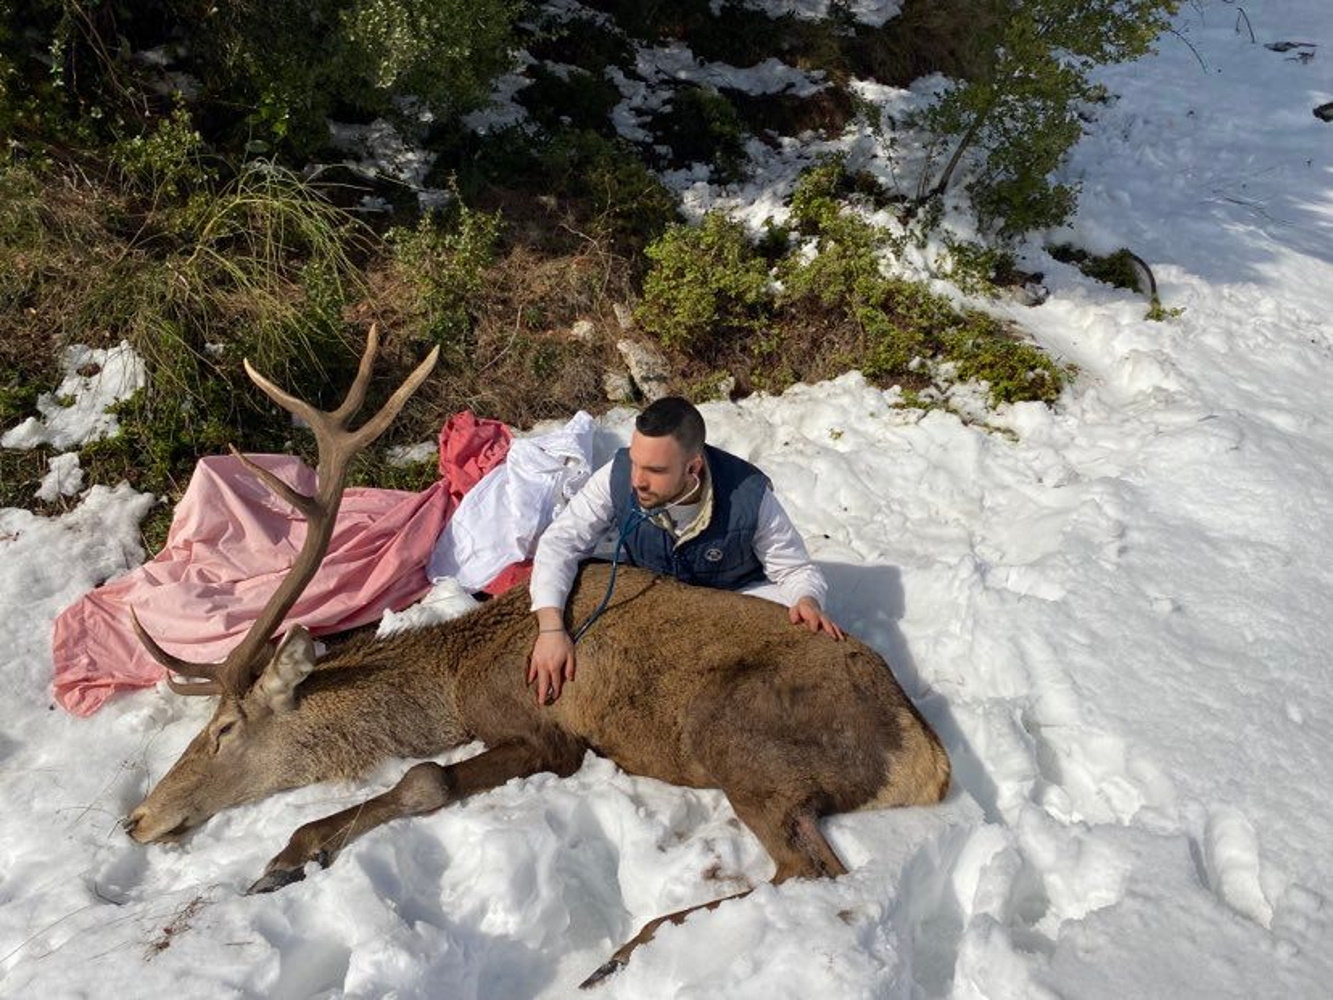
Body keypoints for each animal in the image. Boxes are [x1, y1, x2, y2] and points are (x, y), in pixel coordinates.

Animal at [122, 326, 949, 986]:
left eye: (223, 730)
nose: (136, 819)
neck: (458, 679)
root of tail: (929, 761)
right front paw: (291, 856)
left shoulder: (549, 733)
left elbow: (425, 778)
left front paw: (287, 856)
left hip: (739, 739)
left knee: (810, 871)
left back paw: (627, 951)